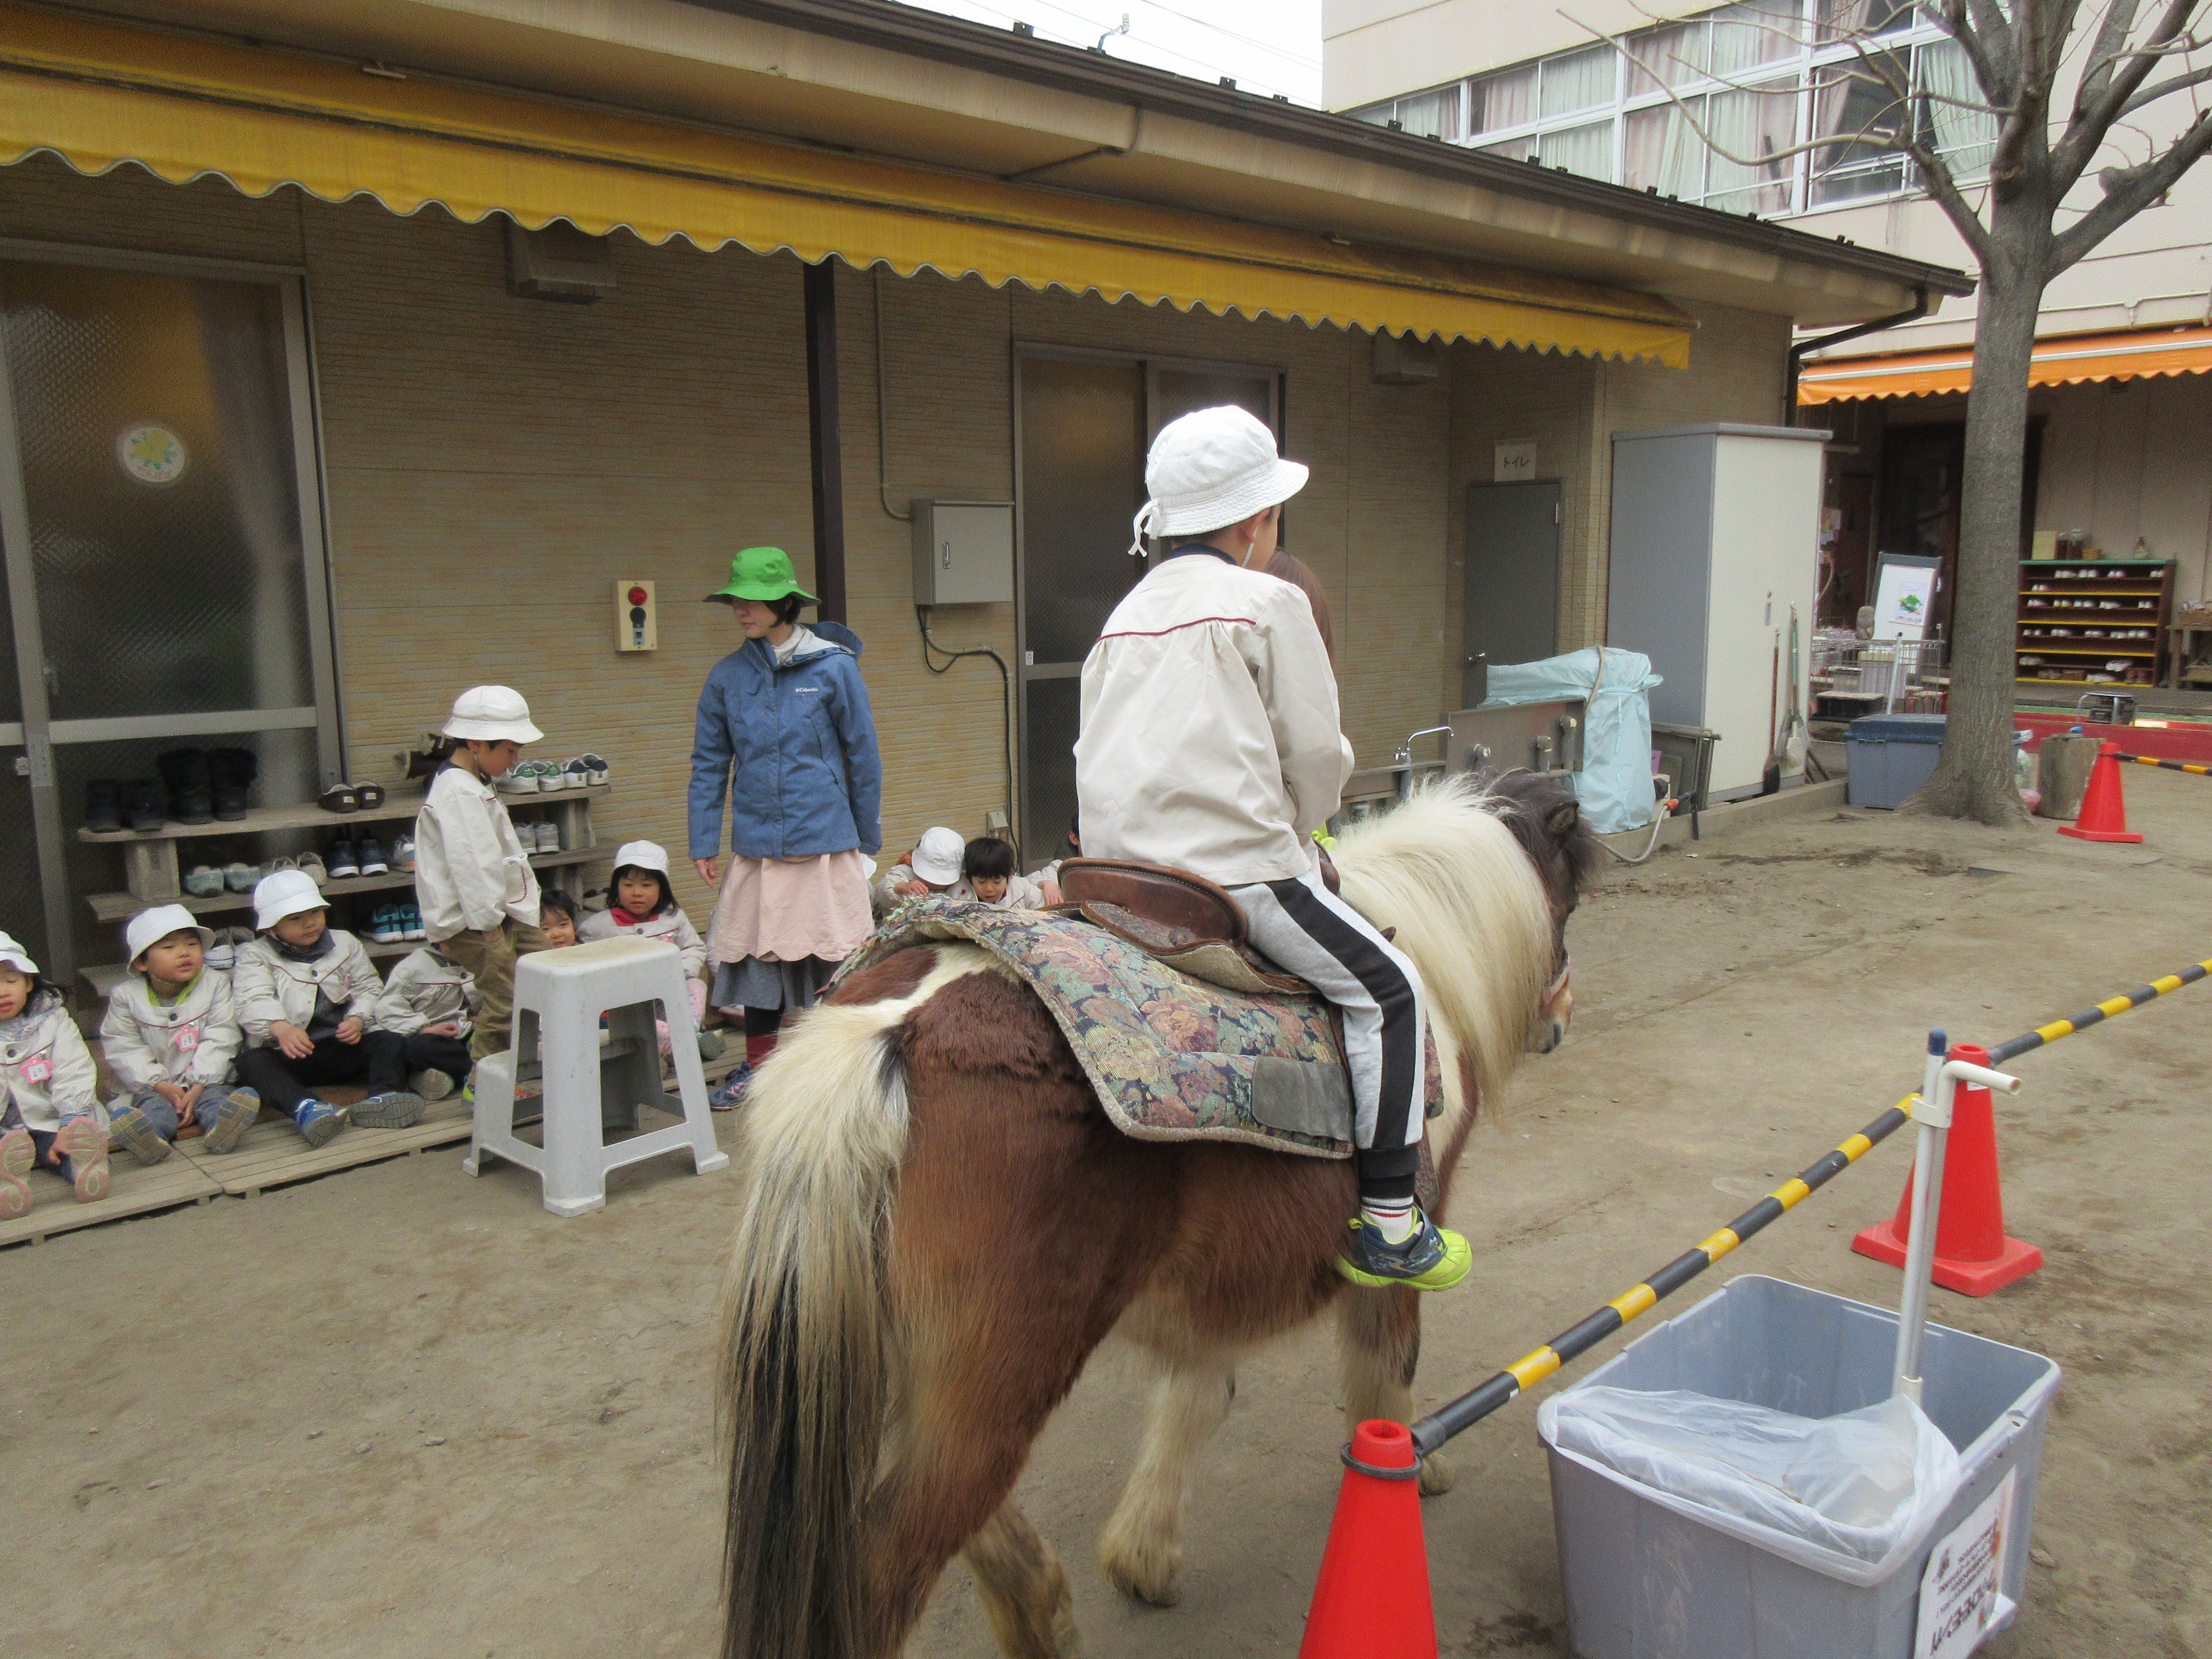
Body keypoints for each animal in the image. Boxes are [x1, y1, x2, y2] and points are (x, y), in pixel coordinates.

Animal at [716, 778, 1601, 1659]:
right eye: (1565, 908)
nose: (1561, 1019)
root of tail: (885, 1038)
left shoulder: (1213, 1280)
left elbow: (1197, 1389)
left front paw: (1143, 1555)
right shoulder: (1406, 1236)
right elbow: (1383, 1366)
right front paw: (1411, 1463)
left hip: (914, 1377)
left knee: (974, 1532)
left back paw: (1048, 1615)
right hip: (990, 1384)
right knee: (881, 1568)